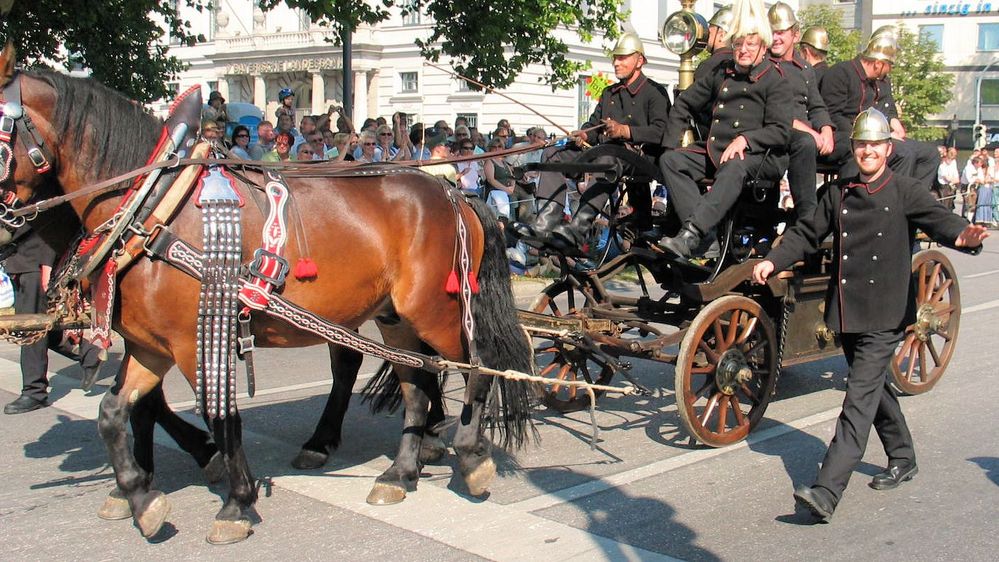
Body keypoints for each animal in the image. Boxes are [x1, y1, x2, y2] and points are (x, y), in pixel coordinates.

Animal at [0, 49, 540, 544]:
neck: (154, 208)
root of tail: (452, 192)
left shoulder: (194, 343)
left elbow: (218, 415)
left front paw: (235, 501)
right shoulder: (150, 345)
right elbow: (114, 414)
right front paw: (139, 496)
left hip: (435, 309)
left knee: (475, 365)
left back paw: (469, 455)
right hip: (395, 318)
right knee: (415, 383)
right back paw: (399, 471)